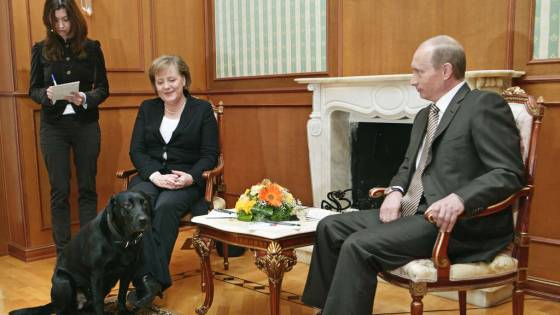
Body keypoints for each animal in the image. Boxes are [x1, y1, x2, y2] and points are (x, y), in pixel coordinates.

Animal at [10, 191, 151, 314]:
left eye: (145, 204)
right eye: (127, 205)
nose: (144, 220)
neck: (122, 240)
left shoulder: (128, 271)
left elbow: (121, 295)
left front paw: (123, 311)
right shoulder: (97, 274)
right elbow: (99, 301)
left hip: (107, 284)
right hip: (64, 281)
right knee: (64, 311)